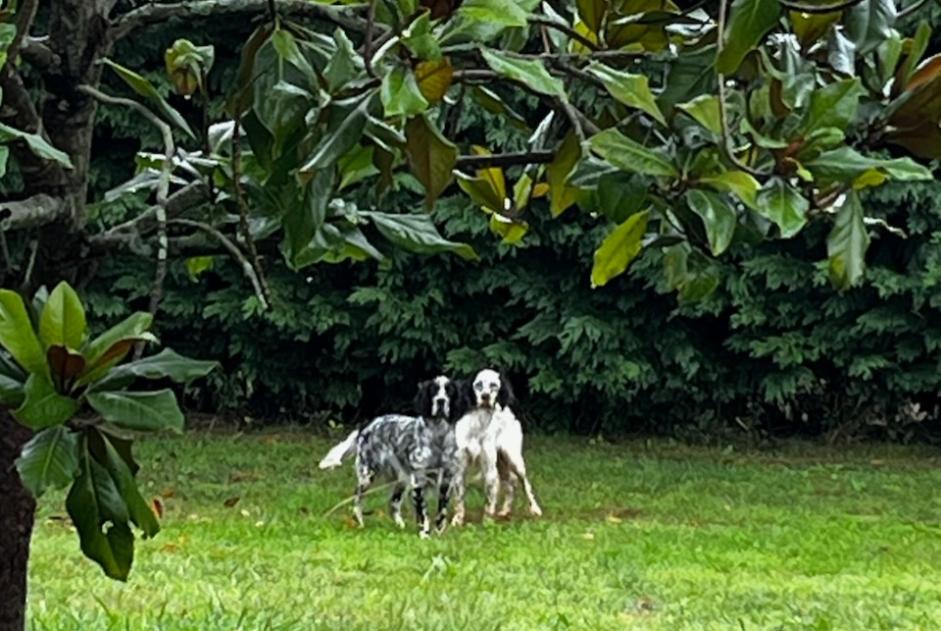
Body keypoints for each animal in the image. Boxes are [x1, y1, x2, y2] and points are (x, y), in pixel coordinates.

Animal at [318, 378, 464, 536]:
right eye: (433, 390)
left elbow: (441, 512)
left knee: (393, 503)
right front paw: (424, 534)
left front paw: (438, 533)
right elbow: (422, 513)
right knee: (357, 499)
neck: (438, 437)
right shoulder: (418, 480)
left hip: (401, 479)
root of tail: (366, 426)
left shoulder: (446, 480)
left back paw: (400, 526)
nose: (441, 401)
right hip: (367, 476)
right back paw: (361, 524)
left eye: (449, 391)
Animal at [450, 370, 540, 528]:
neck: (478, 426)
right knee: (511, 486)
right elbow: (459, 500)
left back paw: (535, 509)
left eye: (494, 385)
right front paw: (457, 520)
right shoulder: (459, 470)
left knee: (525, 484)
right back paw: (505, 510)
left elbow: (489, 501)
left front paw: (487, 522)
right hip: (502, 464)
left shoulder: (490, 471)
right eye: (478, 385)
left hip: (514, 460)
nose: (485, 396)